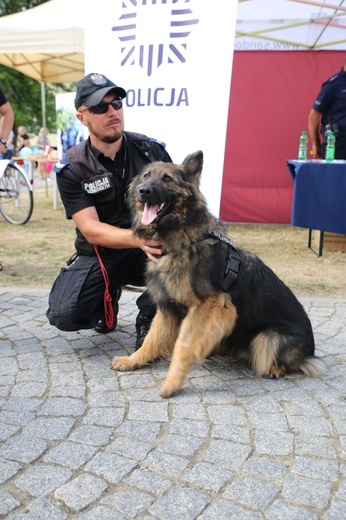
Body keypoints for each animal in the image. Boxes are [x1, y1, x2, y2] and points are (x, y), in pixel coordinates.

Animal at [112, 151, 326, 398]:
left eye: (167, 179)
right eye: (146, 176)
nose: (144, 191)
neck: (183, 235)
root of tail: (310, 352)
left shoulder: (209, 306)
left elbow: (184, 345)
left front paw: (172, 383)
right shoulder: (168, 307)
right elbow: (151, 339)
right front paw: (133, 360)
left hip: (268, 338)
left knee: (281, 359)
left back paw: (275, 369)